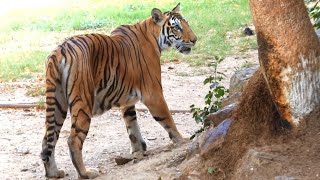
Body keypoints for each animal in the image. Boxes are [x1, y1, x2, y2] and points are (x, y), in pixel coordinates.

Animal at [40, 3, 198, 179]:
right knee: (73, 139)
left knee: (48, 138)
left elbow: (132, 125)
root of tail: (58, 51)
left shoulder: (127, 99)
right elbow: (168, 119)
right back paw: (86, 173)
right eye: (176, 27)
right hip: (82, 102)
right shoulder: (153, 94)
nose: (194, 40)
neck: (154, 36)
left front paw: (138, 150)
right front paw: (183, 140)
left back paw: (54, 172)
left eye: (186, 24)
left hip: (57, 103)